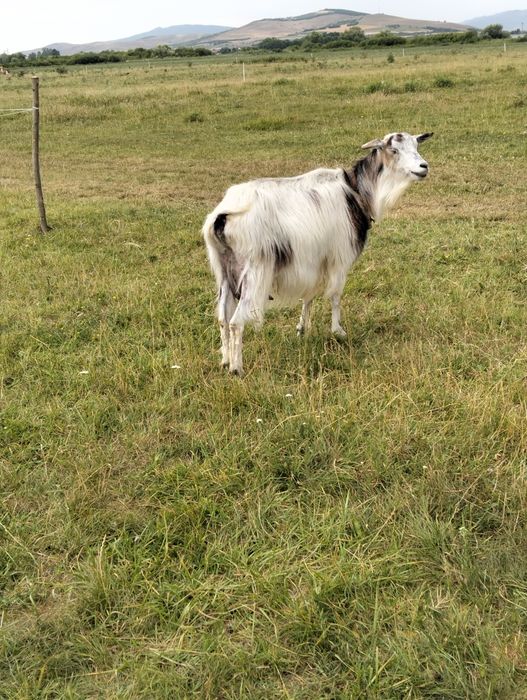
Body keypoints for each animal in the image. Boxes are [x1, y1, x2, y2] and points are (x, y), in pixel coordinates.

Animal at [203, 131, 433, 375]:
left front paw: (302, 329)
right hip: (255, 272)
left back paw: (225, 360)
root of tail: (222, 217)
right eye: (394, 150)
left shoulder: (314, 260)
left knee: (223, 317)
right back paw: (236, 368)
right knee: (236, 322)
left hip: (224, 271)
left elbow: (309, 296)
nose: (423, 167)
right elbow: (335, 295)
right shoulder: (339, 256)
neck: (354, 191)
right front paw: (338, 331)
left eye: (416, 145)